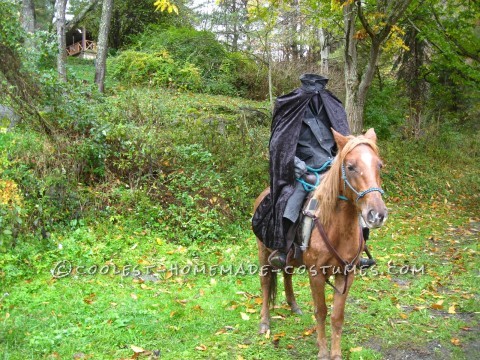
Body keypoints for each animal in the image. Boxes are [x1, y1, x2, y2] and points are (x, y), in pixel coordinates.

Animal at [255, 128, 386, 358]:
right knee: (265, 282)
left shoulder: (346, 274)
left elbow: (337, 316)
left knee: (287, 273)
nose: (377, 214)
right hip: (263, 252)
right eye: (350, 167)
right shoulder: (316, 274)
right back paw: (265, 323)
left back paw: (294, 306)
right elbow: (321, 311)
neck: (336, 229)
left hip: (291, 258)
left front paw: (336, 353)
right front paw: (323, 352)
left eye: (379, 165)